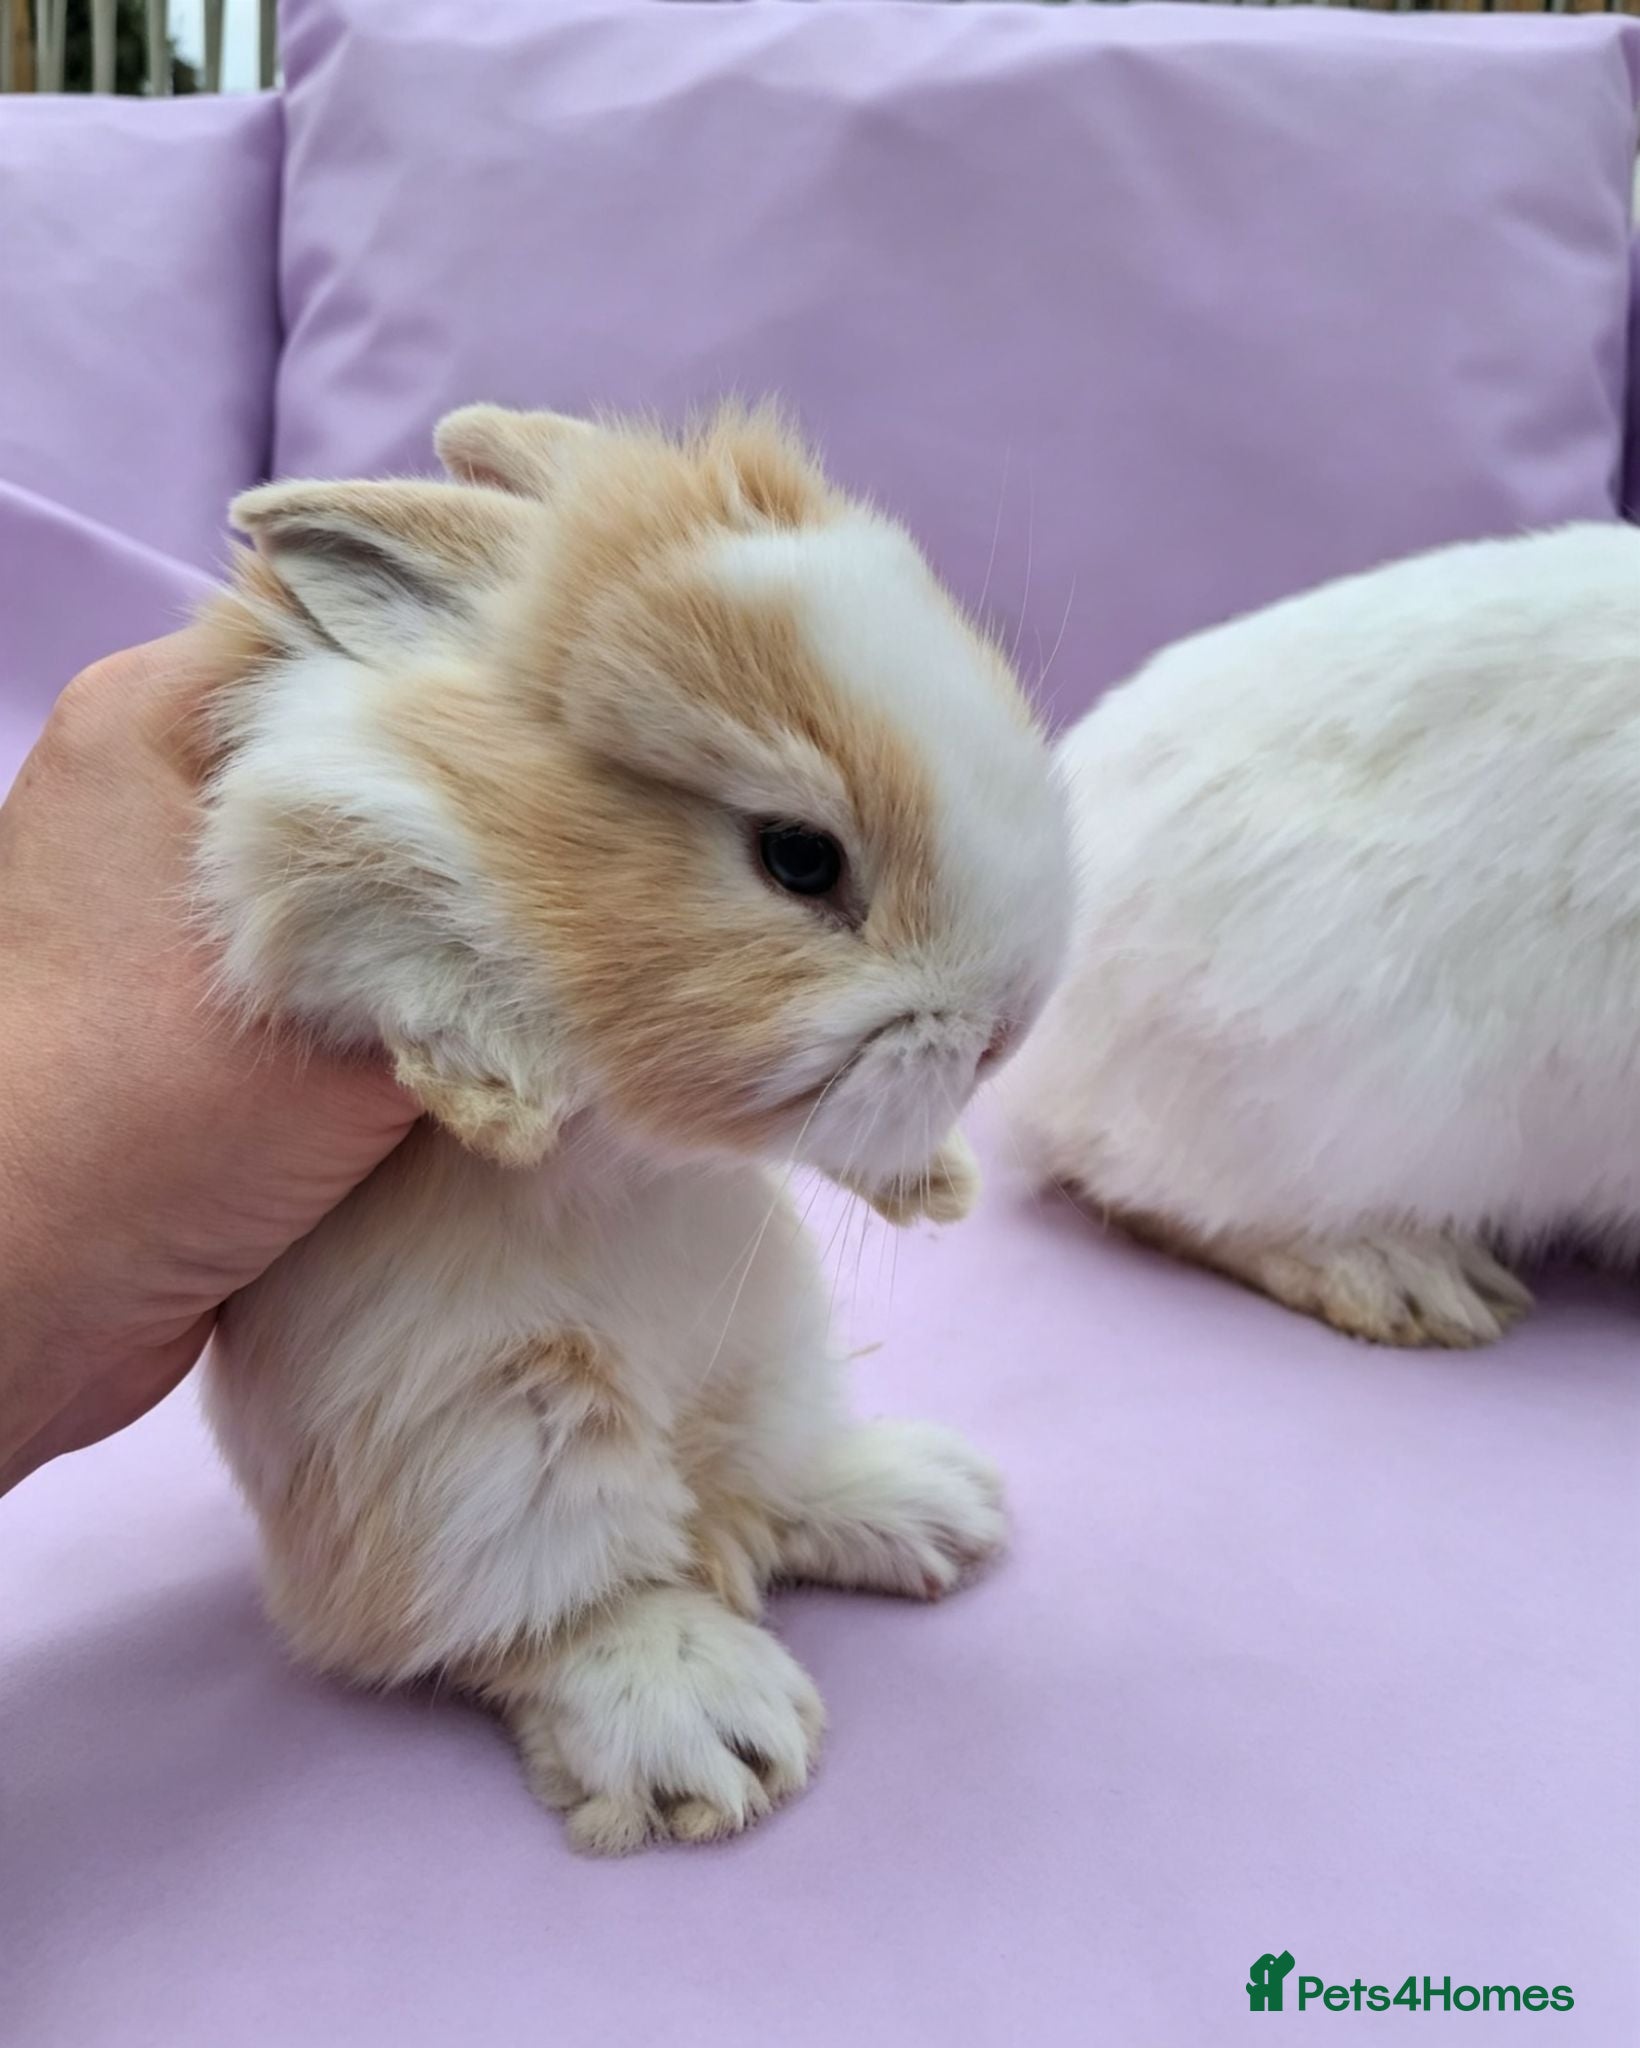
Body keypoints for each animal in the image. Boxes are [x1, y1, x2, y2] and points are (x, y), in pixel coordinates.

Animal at [193, 401, 1070, 1853]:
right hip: (498, 1444)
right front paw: (500, 1094)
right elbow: (382, 904)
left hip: (770, 1351)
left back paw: (930, 1503)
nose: (1009, 1026)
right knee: (554, 1607)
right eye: (798, 857)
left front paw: (932, 1180)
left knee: (770, 1487)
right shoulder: (317, 823)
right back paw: (707, 1728)